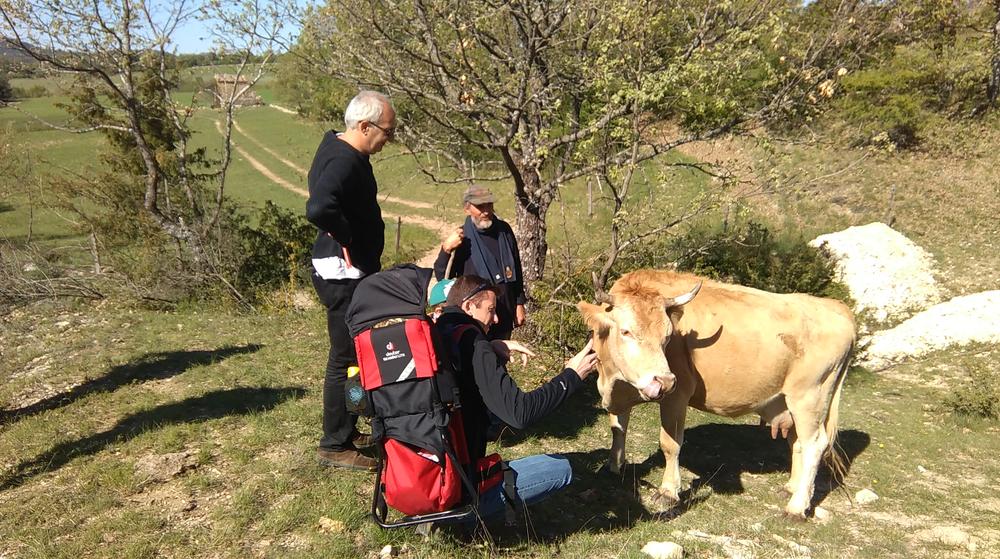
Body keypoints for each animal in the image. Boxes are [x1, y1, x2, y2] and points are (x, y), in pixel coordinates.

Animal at [580, 270, 860, 520]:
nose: (665, 381)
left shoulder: (676, 396)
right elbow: (618, 429)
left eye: (667, 337)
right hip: (790, 402)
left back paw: (796, 508)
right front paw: (614, 466)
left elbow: (670, 444)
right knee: (799, 442)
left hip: (809, 398)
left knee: (814, 444)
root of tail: (836, 307)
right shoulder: (620, 392)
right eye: (626, 331)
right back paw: (790, 488)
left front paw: (669, 491)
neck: (614, 380)